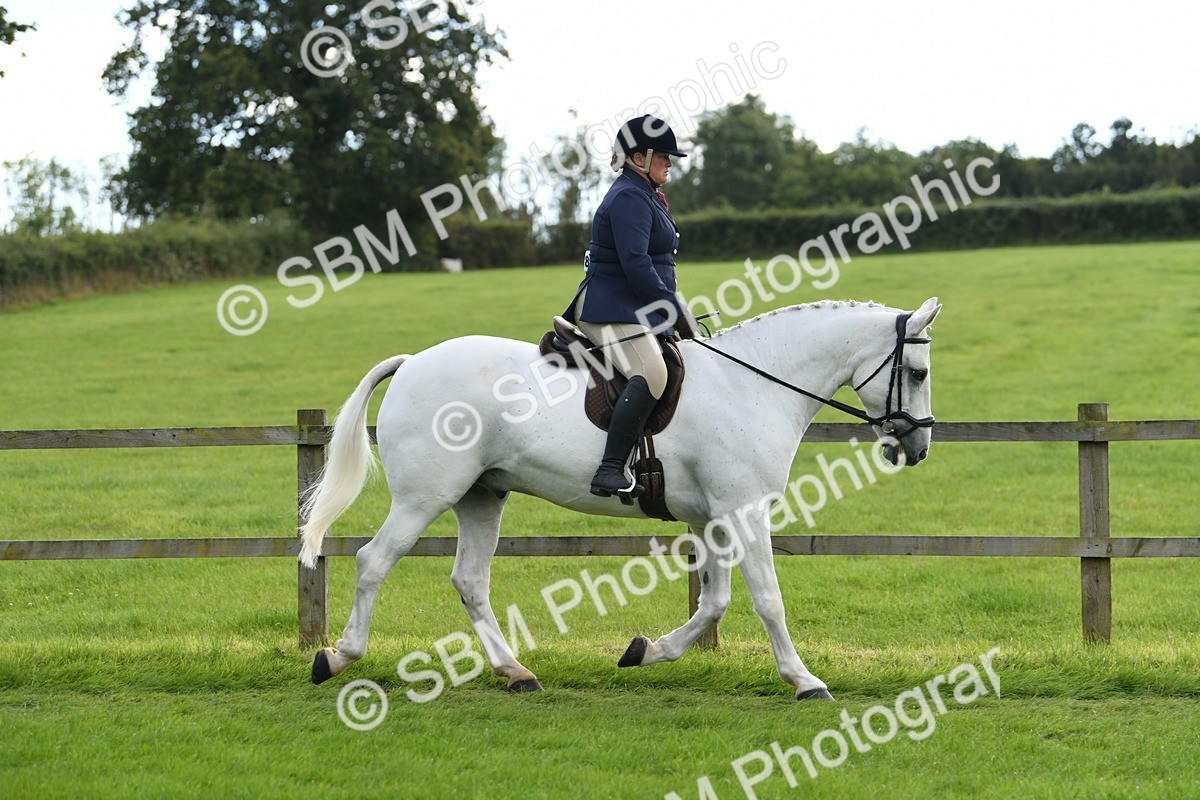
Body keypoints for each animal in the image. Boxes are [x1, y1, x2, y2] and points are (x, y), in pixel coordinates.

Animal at [298, 297, 942, 700]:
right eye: (916, 370)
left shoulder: (712, 520)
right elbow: (767, 601)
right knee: (373, 561)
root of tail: (412, 362)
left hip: (482, 495)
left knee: (470, 580)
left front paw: (646, 651)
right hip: (424, 496)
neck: (754, 384)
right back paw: (336, 657)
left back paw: (516, 672)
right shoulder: (744, 512)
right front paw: (805, 680)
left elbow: (714, 603)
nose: (917, 446)